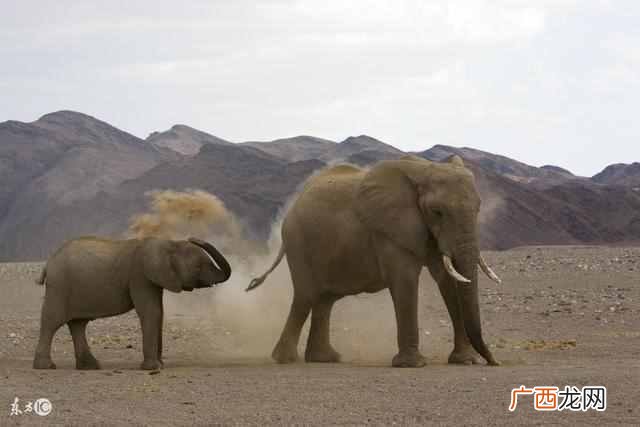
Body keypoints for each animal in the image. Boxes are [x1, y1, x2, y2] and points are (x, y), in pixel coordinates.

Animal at [33, 236, 231, 370]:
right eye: (198, 267)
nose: (193, 237)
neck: (168, 243)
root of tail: (48, 263)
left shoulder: (153, 279)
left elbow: (158, 312)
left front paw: (159, 365)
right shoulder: (140, 276)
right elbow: (151, 312)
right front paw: (153, 368)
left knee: (78, 324)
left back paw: (91, 367)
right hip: (59, 286)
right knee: (52, 321)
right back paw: (46, 366)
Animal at [247, 155, 501, 367]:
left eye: (479, 208)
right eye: (437, 211)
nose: (494, 362)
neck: (423, 169)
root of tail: (292, 207)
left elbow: (446, 279)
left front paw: (465, 361)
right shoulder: (389, 230)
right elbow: (405, 280)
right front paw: (412, 365)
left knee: (324, 300)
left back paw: (324, 359)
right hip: (298, 243)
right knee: (305, 297)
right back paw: (285, 359)